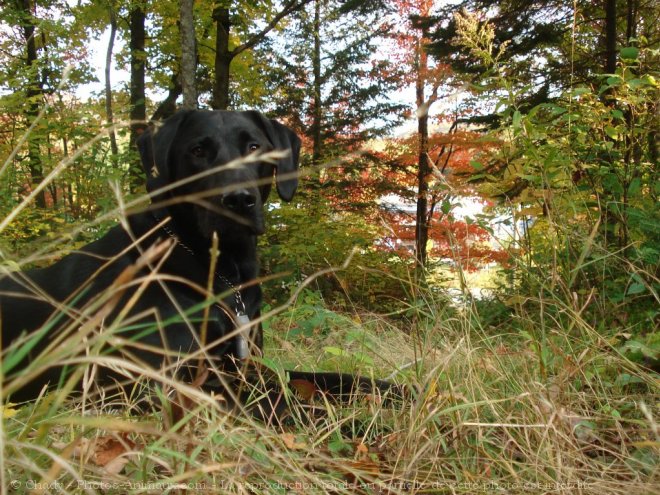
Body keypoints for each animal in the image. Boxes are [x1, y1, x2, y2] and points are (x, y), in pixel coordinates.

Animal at [0, 109, 394, 414]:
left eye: (254, 146)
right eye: (198, 150)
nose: (238, 200)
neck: (225, 271)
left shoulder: (247, 365)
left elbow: (326, 378)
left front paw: (394, 391)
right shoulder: (158, 384)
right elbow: (285, 404)